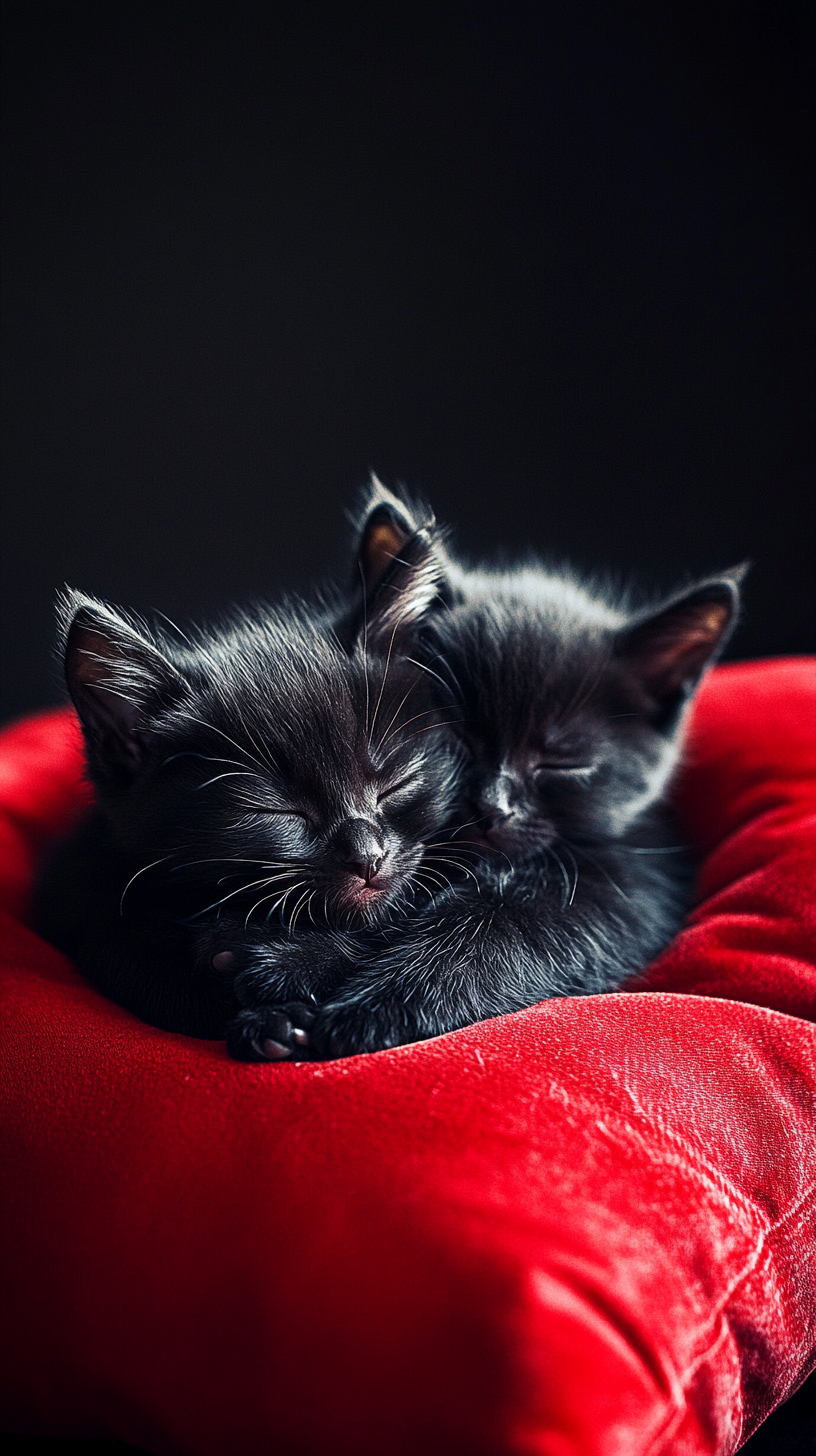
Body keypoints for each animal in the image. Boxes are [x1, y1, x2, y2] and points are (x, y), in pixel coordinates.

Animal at [34, 529, 463, 1054]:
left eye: (396, 783)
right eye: (279, 812)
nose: (368, 857)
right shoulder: (73, 883)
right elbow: (121, 946)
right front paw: (273, 1018)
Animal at [244, 483, 743, 1065]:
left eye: (562, 760)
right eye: (461, 733)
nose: (492, 806)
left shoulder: (626, 886)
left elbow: (496, 932)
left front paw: (362, 1009)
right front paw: (285, 971)